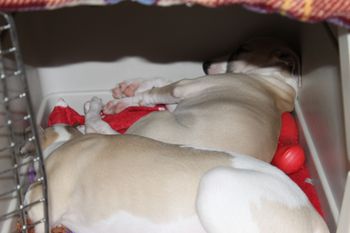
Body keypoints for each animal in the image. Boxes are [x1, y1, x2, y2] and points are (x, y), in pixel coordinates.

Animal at [100, 37, 300, 162]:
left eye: (241, 49)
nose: (205, 64)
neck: (274, 77)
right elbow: (161, 84)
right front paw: (131, 86)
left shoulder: (182, 87)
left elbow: (154, 92)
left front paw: (123, 101)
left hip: (155, 119)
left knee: (117, 135)